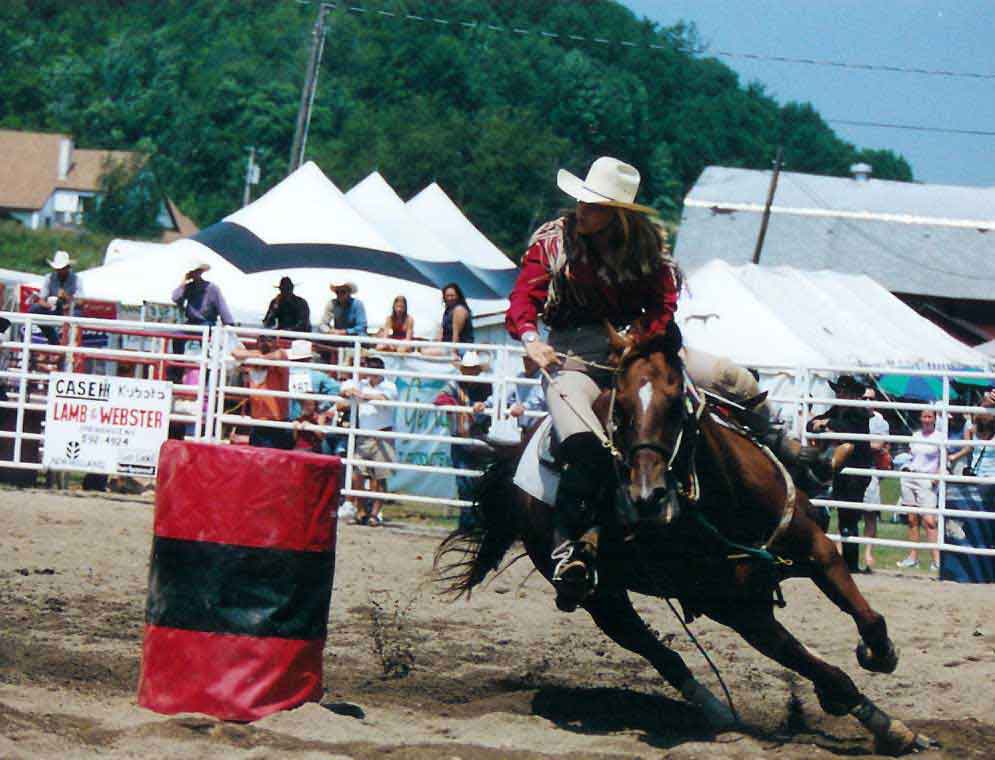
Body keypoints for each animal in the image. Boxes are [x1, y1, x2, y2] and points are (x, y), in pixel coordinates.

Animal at [440, 326, 928, 756]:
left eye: (677, 405)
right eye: (619, 413)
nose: (647, 495)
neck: (729, 502)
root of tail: (517, 456)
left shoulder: (816, 550)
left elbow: (867, 618)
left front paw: (881, 662)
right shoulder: (739, 611)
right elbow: (821, 669)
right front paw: (883, 723)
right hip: (603, 599)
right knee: (657, 652)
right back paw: (716, 712)